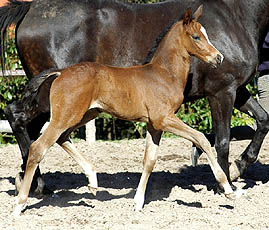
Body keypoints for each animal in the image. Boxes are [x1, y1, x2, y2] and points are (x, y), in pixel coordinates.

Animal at [14, 5, 237, 216]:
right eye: (196, 36)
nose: (218, 58)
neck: (164, 74)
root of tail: (60, 72)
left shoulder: (154, 125)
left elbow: (149, 161)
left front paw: (138, 202)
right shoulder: (164, 119)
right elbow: (201, 138)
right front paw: (228, 189)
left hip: (84, 114)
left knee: (62, 138)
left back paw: (92, 180)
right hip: (65, 116)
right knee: (38, 147)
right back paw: (21, 203)